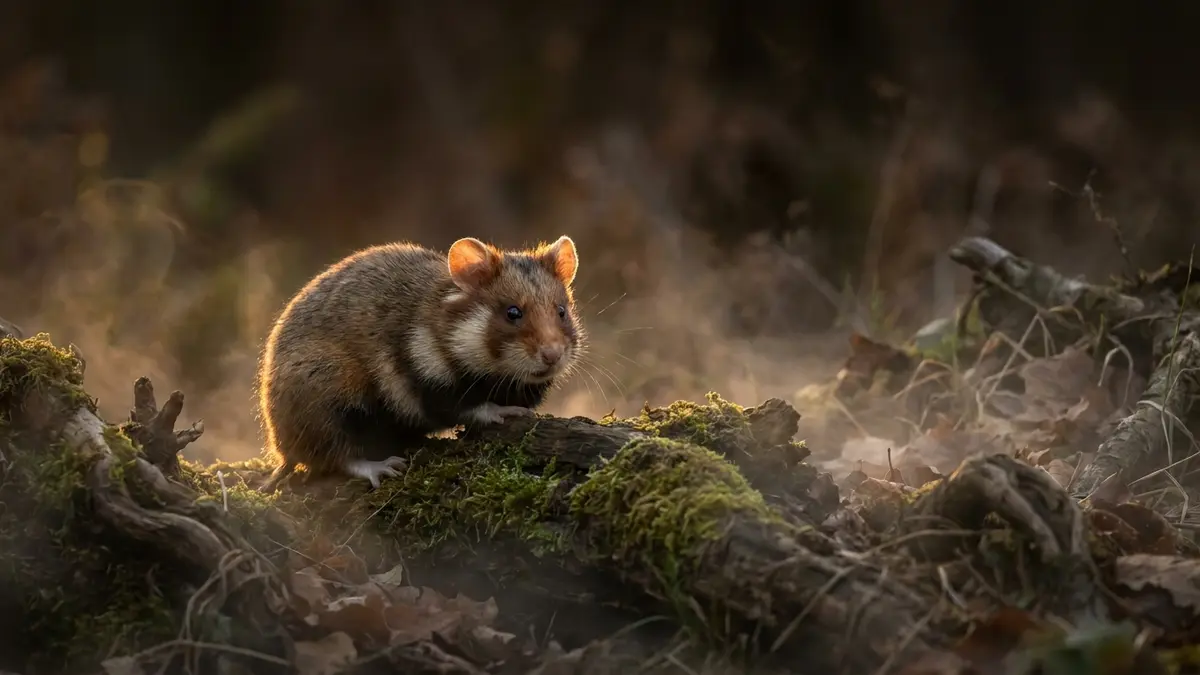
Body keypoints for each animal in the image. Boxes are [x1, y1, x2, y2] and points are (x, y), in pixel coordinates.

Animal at [256, 235, 584, 492]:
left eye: (562, 311)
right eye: (512, 312)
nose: (553, 356)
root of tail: (282, 448)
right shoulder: (428, 380)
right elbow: (469, 407)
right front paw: (506, 411)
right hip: (330, 396)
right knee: (337, 455)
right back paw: (383, 467)